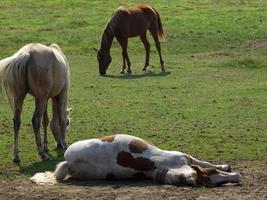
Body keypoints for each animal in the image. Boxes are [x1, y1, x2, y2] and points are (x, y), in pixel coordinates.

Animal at [31, 134, 243, 187]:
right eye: (212, 176)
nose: (238, 177)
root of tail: (68, 162)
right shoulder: (185, 156)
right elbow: (205, 163)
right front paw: (225, 166)